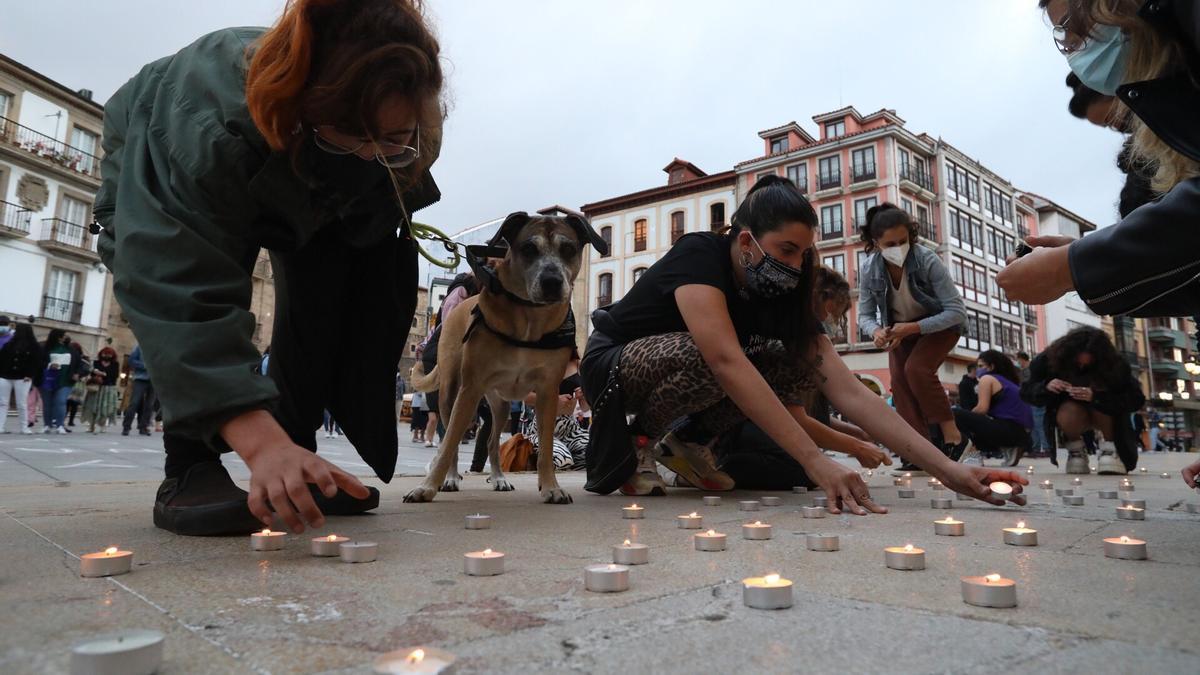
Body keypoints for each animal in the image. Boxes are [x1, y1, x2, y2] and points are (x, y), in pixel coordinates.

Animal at [405, 210, 609, 499]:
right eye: (528, 248)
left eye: (568, 249)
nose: (552, 282)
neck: (529, 317)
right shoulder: (469, 389)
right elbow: (448, 444)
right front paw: (426, 487)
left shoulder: (547, 391)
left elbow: (546, 448)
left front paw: (551, 487)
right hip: (451, 395)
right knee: (450, 439)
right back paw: (452, 478)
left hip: (498, 407)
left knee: (491, 442)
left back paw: (499, 478)